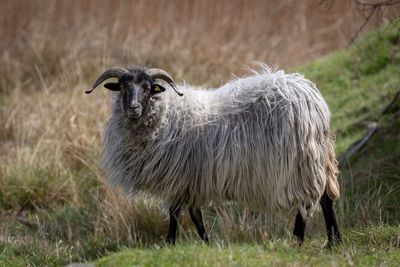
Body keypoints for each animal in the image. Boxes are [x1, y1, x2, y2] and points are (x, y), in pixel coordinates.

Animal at [86, 66, 342, 247]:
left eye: (148, 88)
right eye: (123, 88)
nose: (134, 108)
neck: (167, 115)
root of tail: (314, 100)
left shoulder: (179, 177)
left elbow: (175, 213)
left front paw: (170, 242)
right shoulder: (191, 181)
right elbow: (195, 215)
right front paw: (206, 242)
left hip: (301, 163)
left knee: (307, 202)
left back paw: (298, 240)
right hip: (319, 161)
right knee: (326, 199)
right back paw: (333, 242)